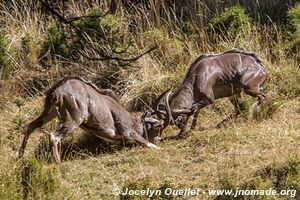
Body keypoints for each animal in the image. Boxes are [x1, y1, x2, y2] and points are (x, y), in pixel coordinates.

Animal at [18, 76, 169, 162]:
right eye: (157, 129)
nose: (158, 140)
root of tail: (57, 91)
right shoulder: (128, 132)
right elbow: (148, 144)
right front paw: (161, 148)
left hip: (49, 113)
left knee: (30, 126)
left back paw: (20, 156)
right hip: (72, 120)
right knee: (54, 136)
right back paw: (58, 162)